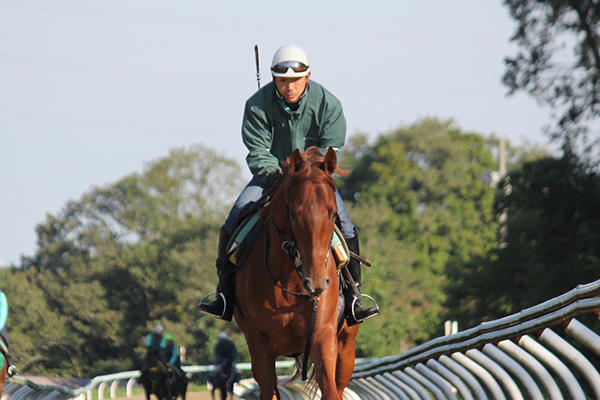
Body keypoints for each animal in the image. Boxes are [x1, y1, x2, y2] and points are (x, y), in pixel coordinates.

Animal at [233, 148, 356, 400]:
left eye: (333, 214)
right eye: (294, 214)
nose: (317, 282)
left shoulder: (323, 338)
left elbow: (331, 390)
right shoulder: (260, 347)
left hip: (347, 347)